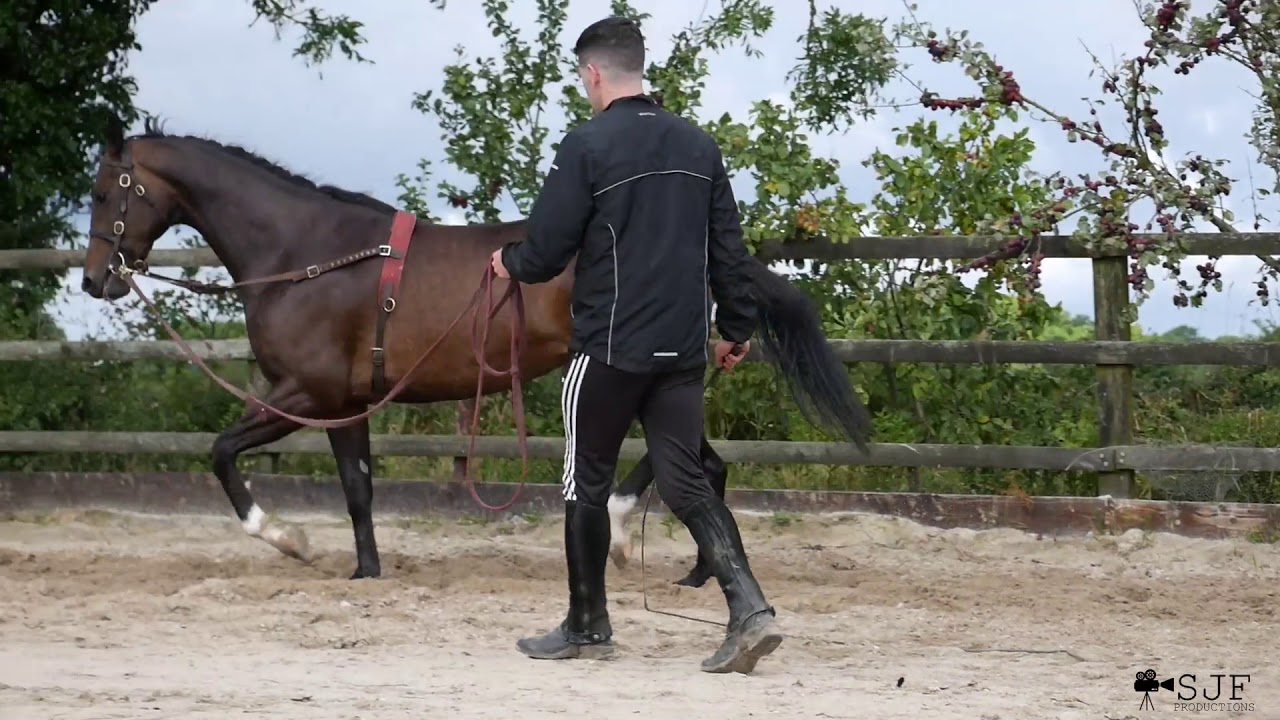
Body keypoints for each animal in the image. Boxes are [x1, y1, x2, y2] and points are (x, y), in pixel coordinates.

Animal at [79, 116, 873, 581]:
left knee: (685, 465)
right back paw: (701, 574)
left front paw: (287, 539)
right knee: (707, 467)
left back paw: (626, 535)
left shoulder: (304, 392)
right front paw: (366, 570)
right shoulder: (345, 401)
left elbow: (219, 451)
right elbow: (358, 489)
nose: (94, 280)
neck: (304, 255)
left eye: (102, 192)